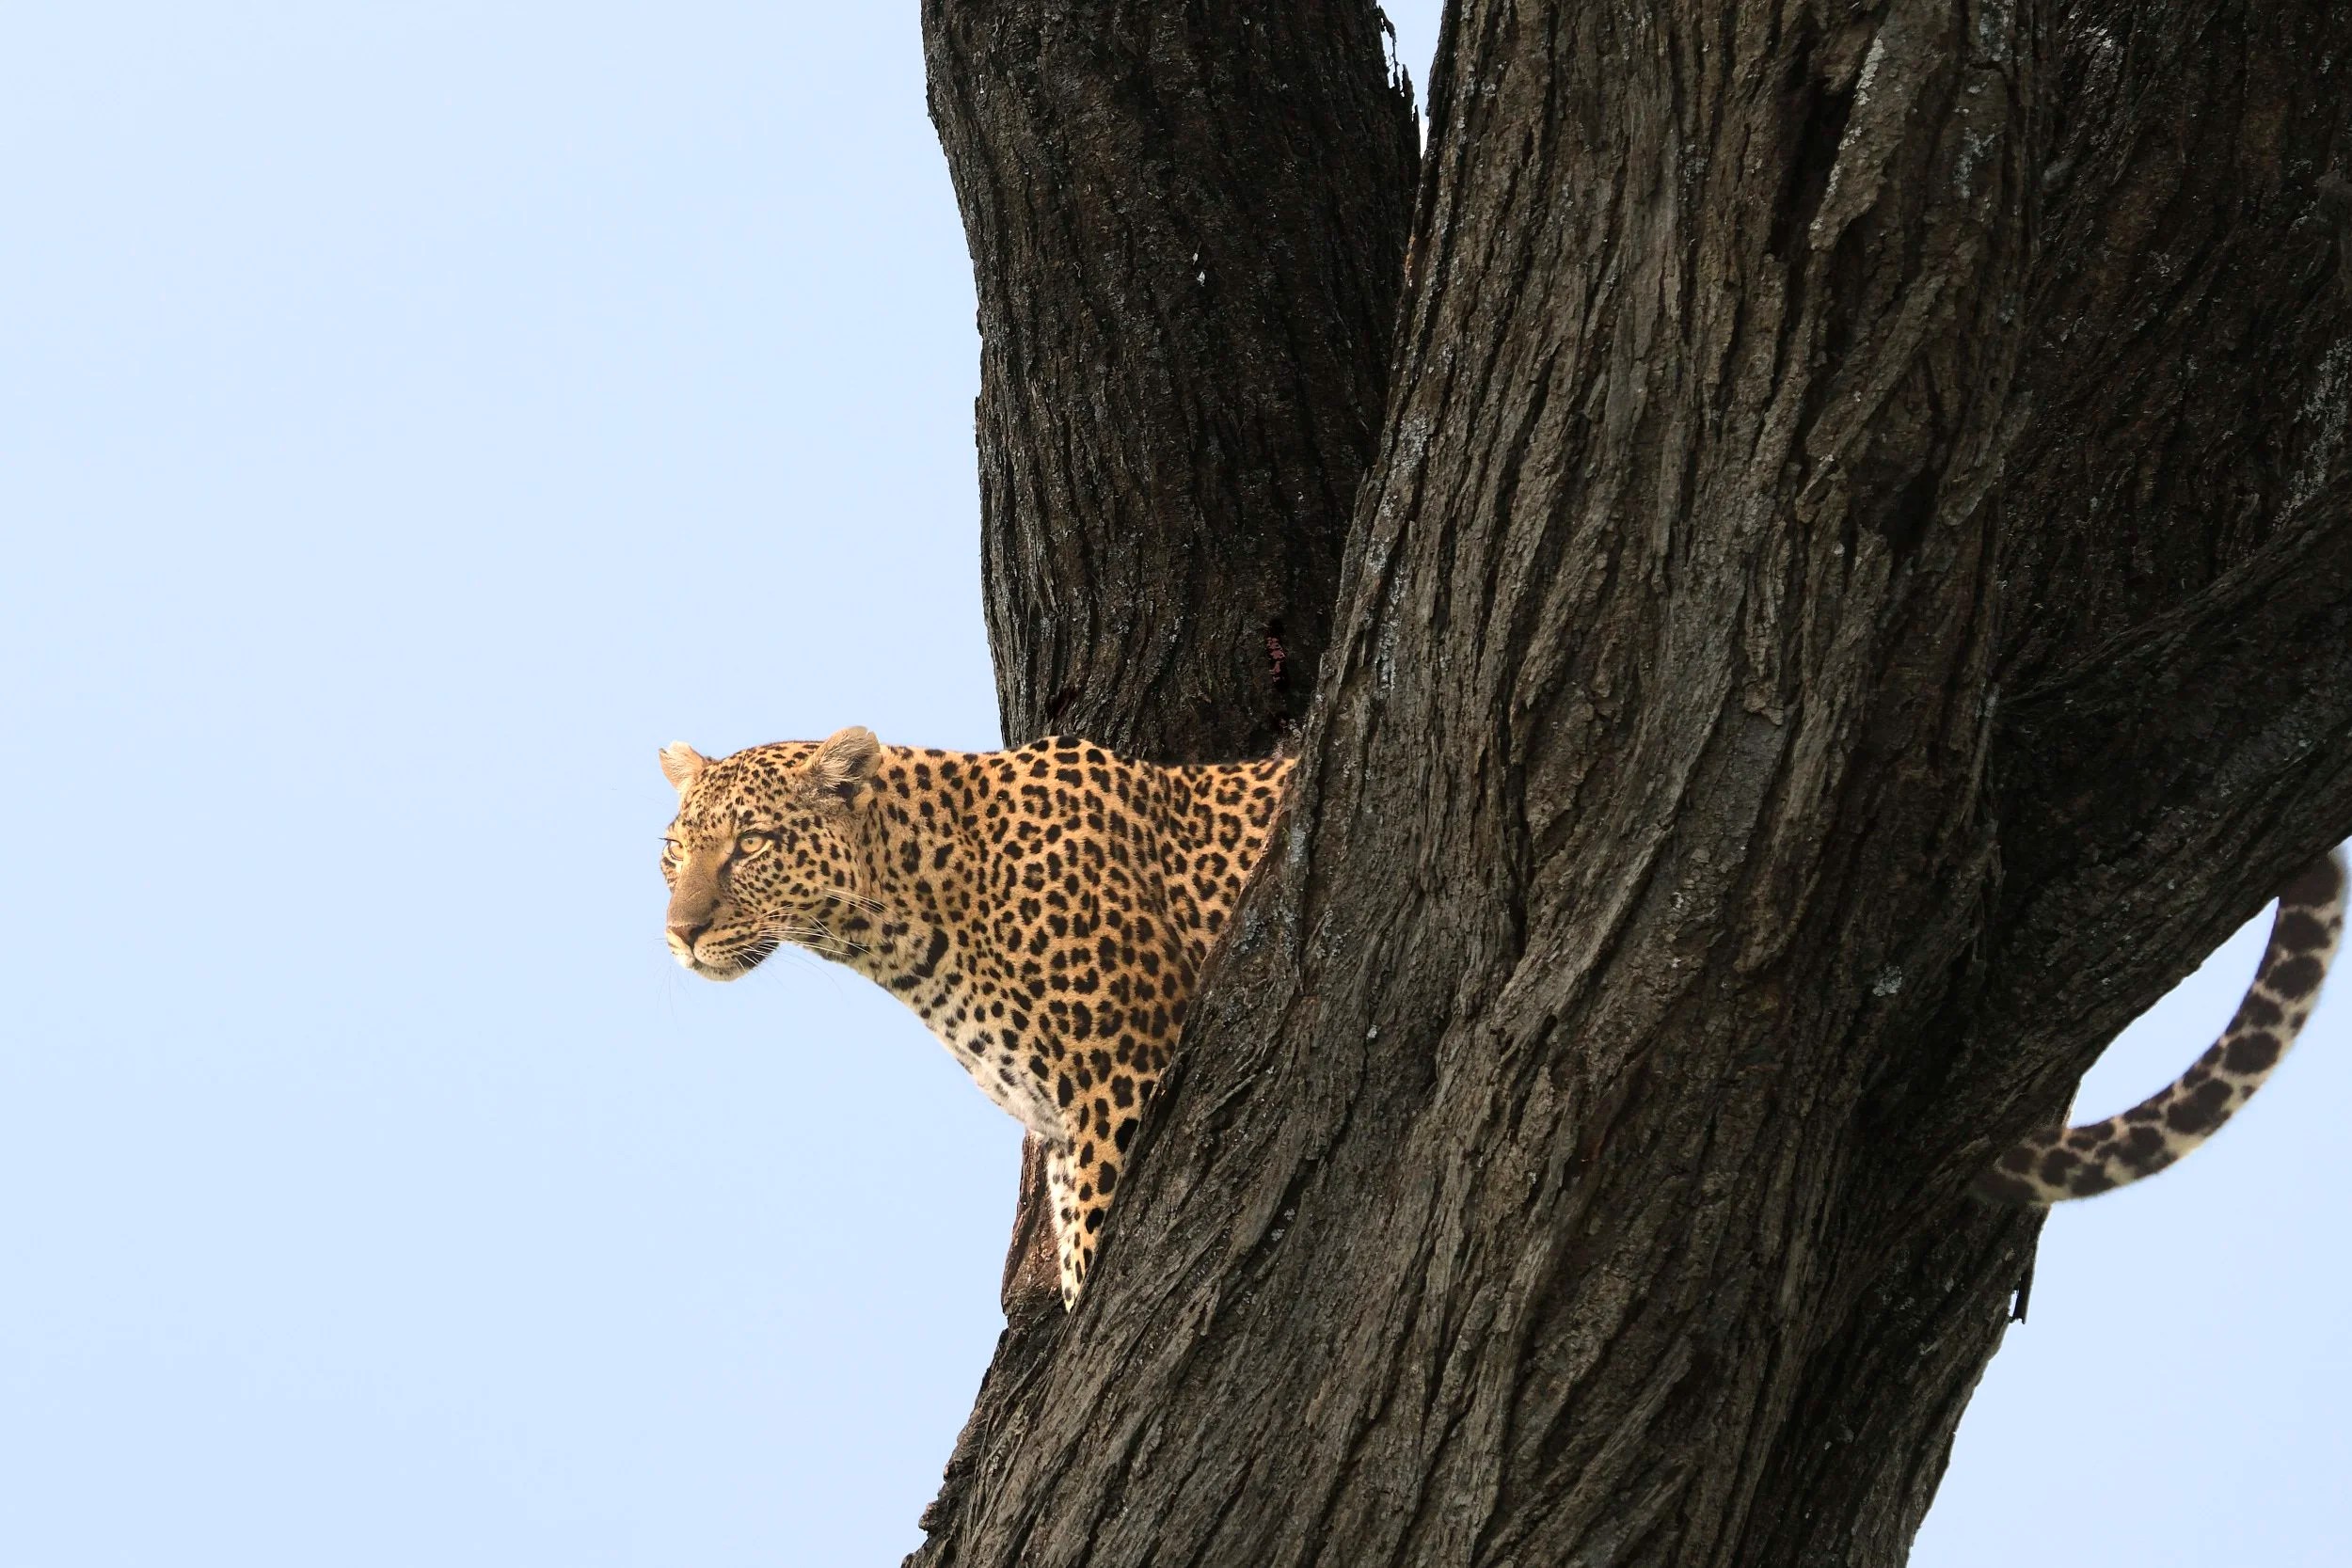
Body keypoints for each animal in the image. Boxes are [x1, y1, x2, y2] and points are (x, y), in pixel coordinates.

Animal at [656, 727, 2343, 1301]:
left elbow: (1098, 1248)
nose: (673, 929)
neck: (906, 923)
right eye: (672, 845)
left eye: (750, 846)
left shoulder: (1120, 1100)